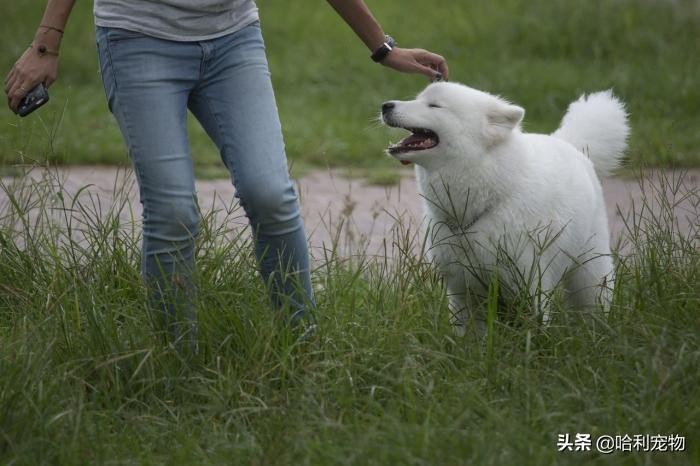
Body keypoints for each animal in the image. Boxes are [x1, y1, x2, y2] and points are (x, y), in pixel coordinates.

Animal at [382, 82, 628, 334]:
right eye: (418, 99)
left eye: (434, 105)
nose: (385, 106)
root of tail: (569, 144)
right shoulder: (463, 292)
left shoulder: (530, 284)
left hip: (589, 272)